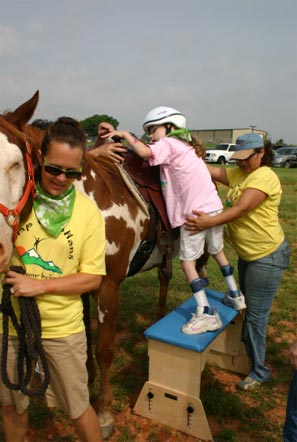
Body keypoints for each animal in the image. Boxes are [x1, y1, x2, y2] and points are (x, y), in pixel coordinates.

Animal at [0, 92, 208, 438]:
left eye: (15, 163)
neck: (86, 199)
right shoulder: (83, 288)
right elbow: (84, 344)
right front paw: (87, 385)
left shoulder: (109, 286)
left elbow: (104, 350)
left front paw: (105, 411)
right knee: (164, 278)